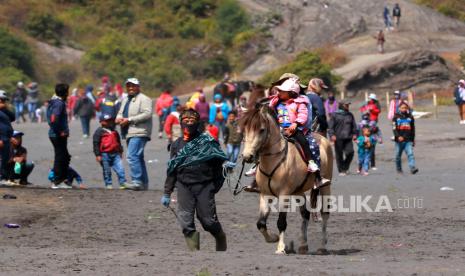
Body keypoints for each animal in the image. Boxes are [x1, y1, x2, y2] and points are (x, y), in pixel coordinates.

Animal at [241, 104, 332, 254]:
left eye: (261, 129)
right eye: (244, 129)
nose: (247, 156)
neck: (274, 159)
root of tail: (322, 138)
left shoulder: (284, 195)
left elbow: (281, 222)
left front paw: (281, 247)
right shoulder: (265, 195)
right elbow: (261, 223)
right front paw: (273, 238)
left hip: (326, 187)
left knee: (324, 213)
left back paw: (322, 247)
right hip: (298, 191)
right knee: (305, 213)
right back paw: (303, 245)